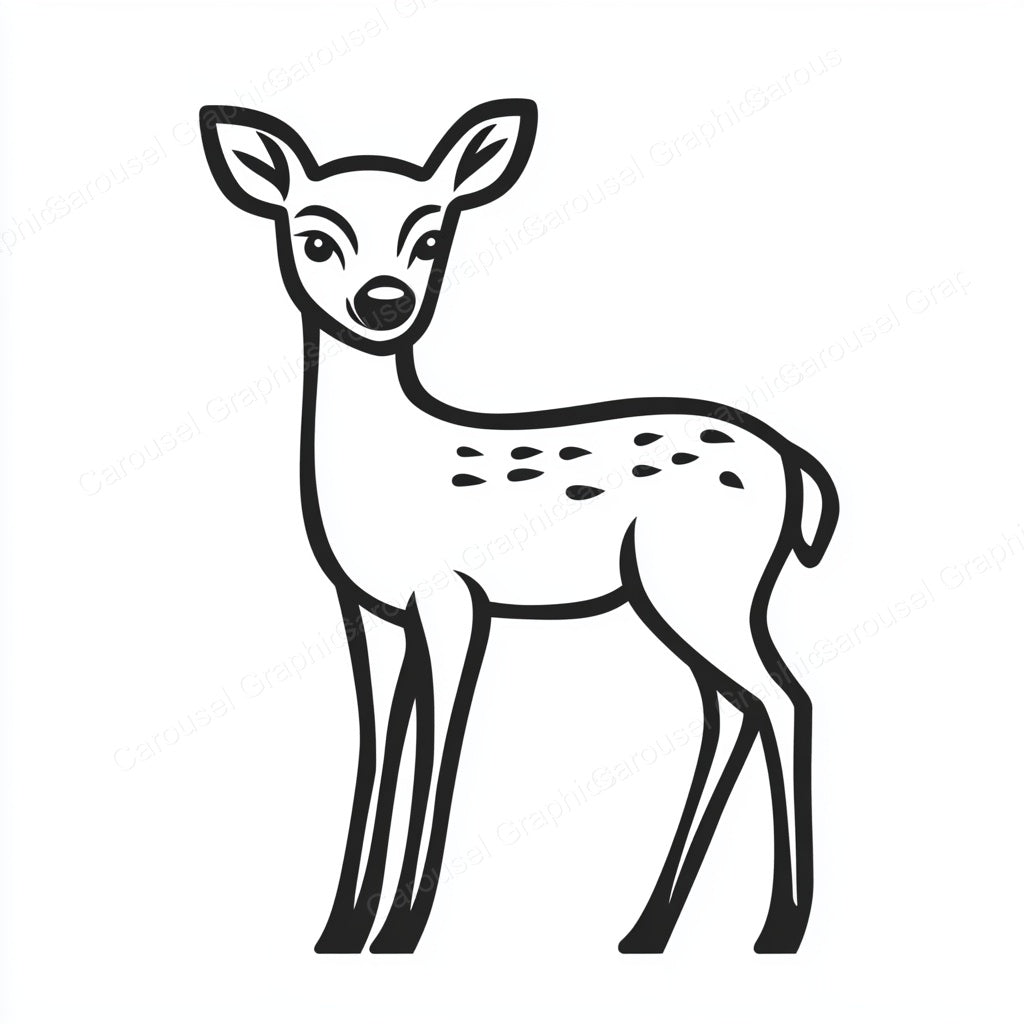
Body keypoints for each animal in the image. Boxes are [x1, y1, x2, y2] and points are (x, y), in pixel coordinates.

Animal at [200, 98, 839, 956]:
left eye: (431, 238)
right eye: (316, 238)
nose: (384, 302)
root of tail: (794, 466)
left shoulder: (454, 597)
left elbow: (440, 745)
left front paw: (401, 928)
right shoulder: (367, 608)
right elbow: (378, 743)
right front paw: (341, 928)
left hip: (701, 583)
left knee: (783, 699)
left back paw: (779, 925)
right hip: (685, 591)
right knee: (731, 707)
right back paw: (649, 926)